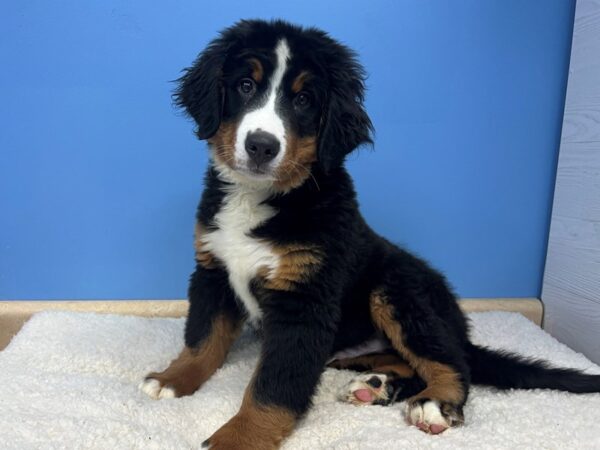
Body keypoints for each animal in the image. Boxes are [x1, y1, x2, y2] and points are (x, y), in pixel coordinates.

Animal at [139, 19, 600, 448]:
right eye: (245, 85)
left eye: (303, 99)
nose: (262, 146)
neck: (261, 197)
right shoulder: (213, 268)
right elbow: (203, 338)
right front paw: (173, 378)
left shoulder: (303, 299)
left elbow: (273, 386)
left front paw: (238, 437)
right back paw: (376, 386)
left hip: (398, 290)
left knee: (451, 361)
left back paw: (434, 402)